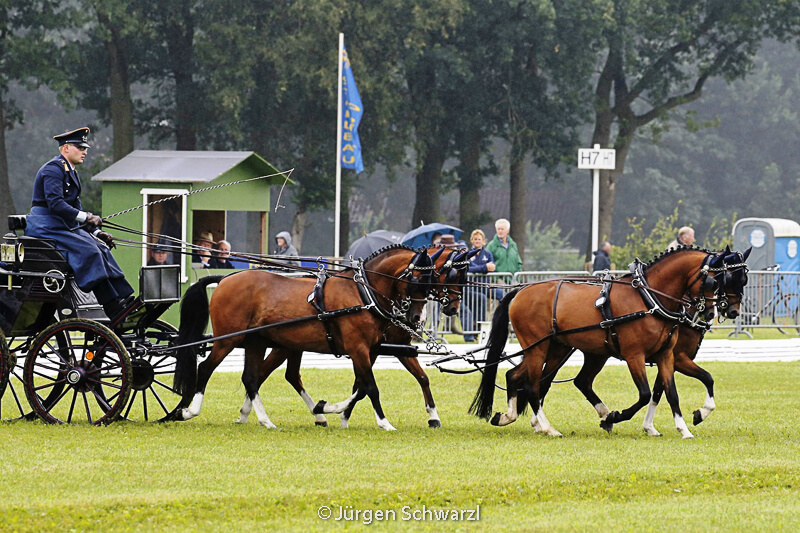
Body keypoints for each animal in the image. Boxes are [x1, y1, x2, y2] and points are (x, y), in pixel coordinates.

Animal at [171, 244, 435, 430]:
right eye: (416, 279)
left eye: (431, 281)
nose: (416, 317)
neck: (362, 292)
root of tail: (225, 278)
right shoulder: (357, 348)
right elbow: (370, 387)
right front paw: (384, 422)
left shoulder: (371, 349)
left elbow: (360, 388)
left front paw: (326, 408)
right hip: (228, 340)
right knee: (206, 368)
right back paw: (189, 411)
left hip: (256, 342)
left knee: (252, 378)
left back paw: (265, 420)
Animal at [235, 245, 476, 429]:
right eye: (451, 276)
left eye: (463, 278)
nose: (453, 309)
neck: (369, 293)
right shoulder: (375, 347)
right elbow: (365, 385)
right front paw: (343, 416)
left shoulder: (385, 348)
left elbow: (412, 379)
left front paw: (433, 416)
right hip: (286, 345)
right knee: (266, 373)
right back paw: (251, 412)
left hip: (292, 345)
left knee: (285, 375)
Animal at [470, 246, 750, 438]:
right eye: (718, 280)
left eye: (743, 280)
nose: (727, 311)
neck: (650, 298)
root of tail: (521, 290)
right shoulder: (636, 355)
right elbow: (646, 393)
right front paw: (616, 417)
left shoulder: (666, 355)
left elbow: (672, 392)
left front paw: (684, 428)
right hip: (539, 347)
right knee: (532, 384)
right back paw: (548, 427)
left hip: (562, 349)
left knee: (525, 377)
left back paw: (511, 417)